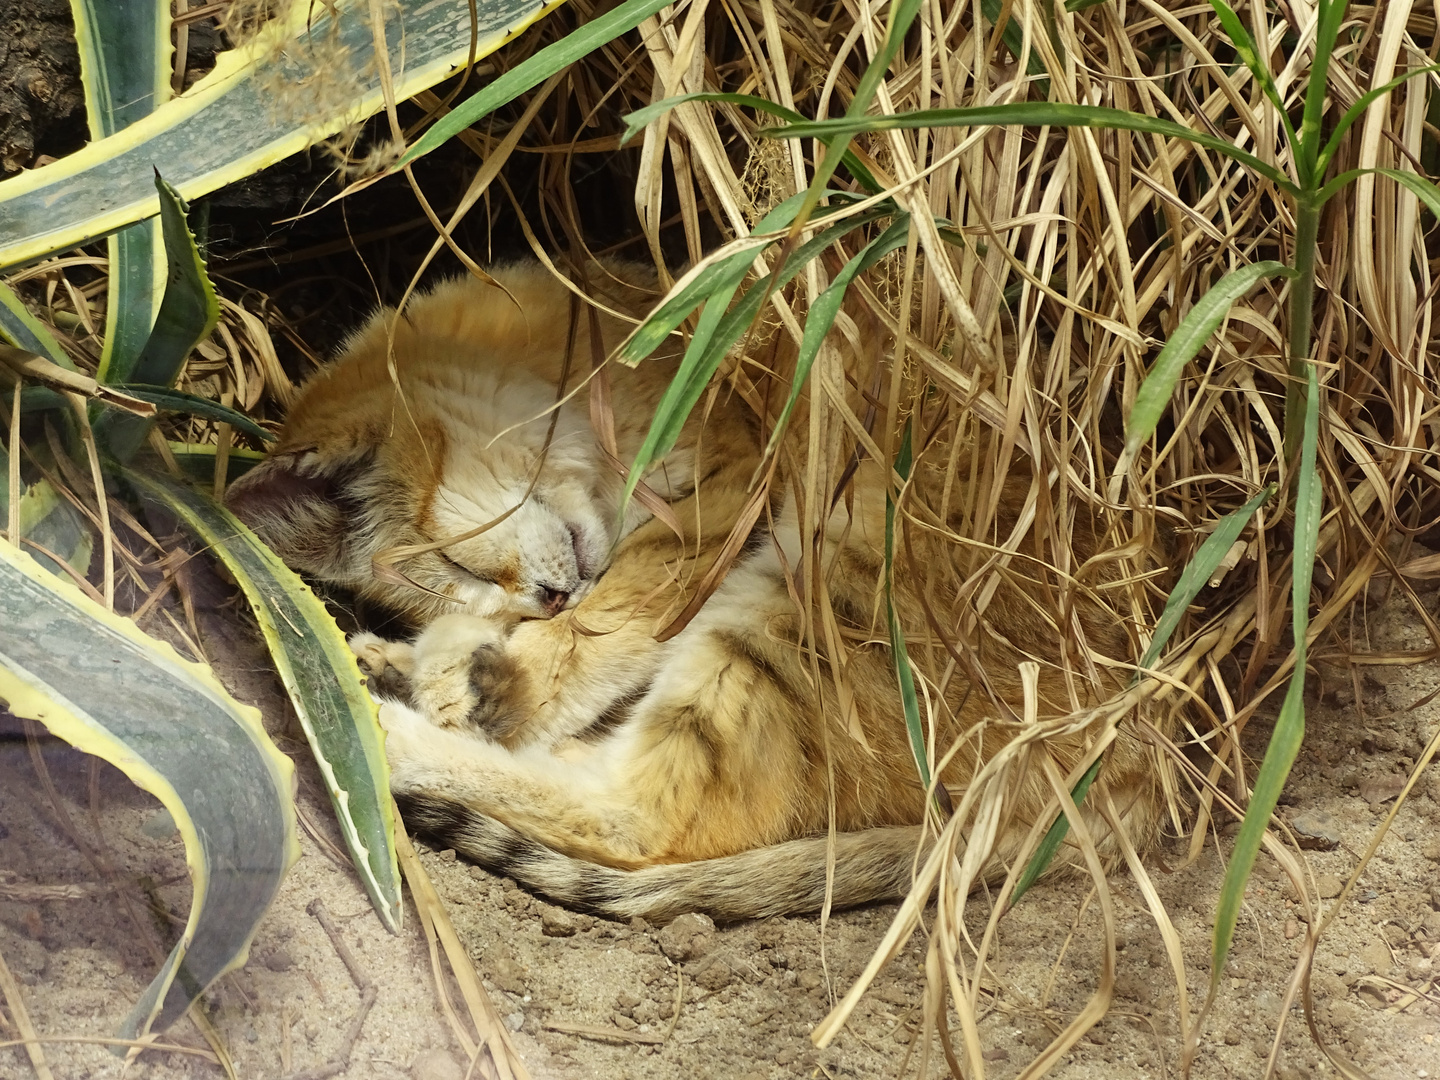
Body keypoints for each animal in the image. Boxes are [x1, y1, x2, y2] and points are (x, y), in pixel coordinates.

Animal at [227, 260, 1169, 921]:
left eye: (455, 566)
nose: (539, 602)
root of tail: (1147, 757)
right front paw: (446, 655)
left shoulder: (718, 487)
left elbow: (609, 621)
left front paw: (501, 673)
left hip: (818, 579)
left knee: (646, 821)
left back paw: (387, 728)